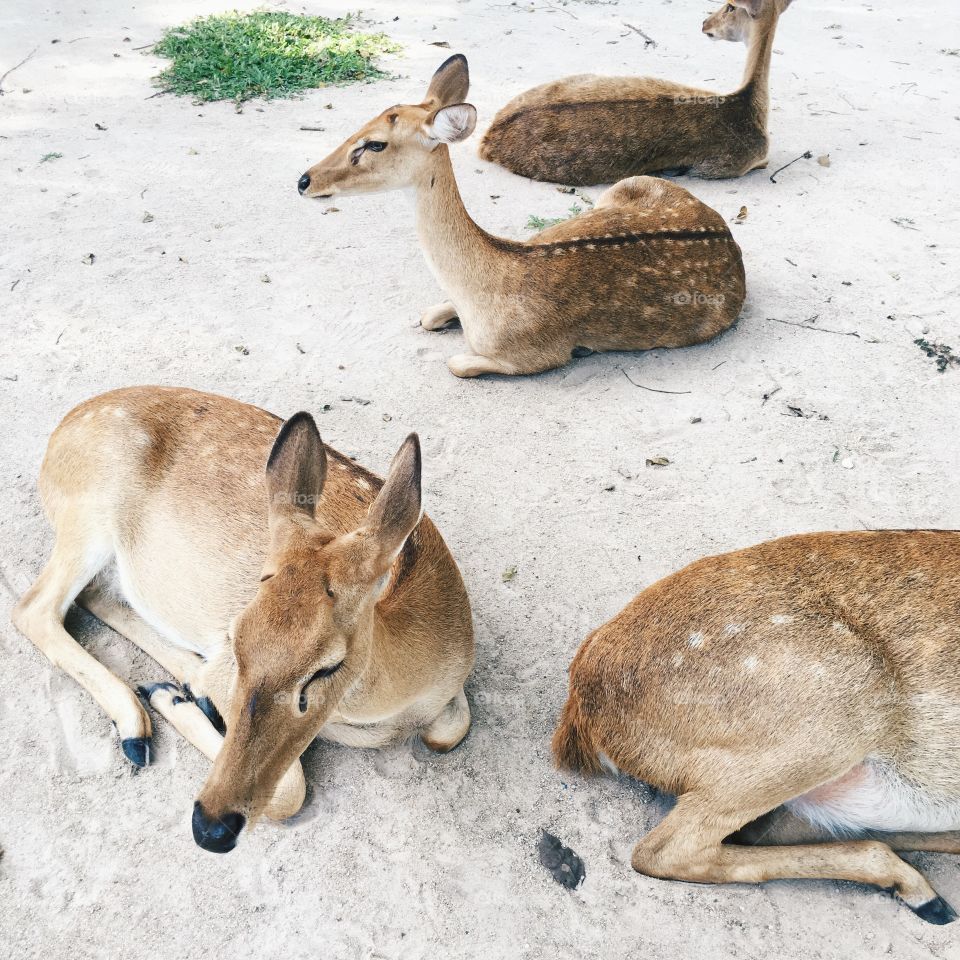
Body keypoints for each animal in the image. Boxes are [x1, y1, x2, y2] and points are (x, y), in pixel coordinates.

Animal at [13, 390, 478, 856]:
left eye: (328, 666)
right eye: (237, 639)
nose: (209, 828)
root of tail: (59, 435)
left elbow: (451, 728)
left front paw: (176, 694)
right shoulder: (226, 668)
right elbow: (291, 791)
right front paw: (172, 700)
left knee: (93, 594)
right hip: (88, 514)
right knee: (34, 607)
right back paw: (140, 720)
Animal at [296, 54, 748, 378]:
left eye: (374, 144)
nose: (304, 180)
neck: (483, 289)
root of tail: (729, 235)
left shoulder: (538, 355)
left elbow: (457, 363)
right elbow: (428, 316)